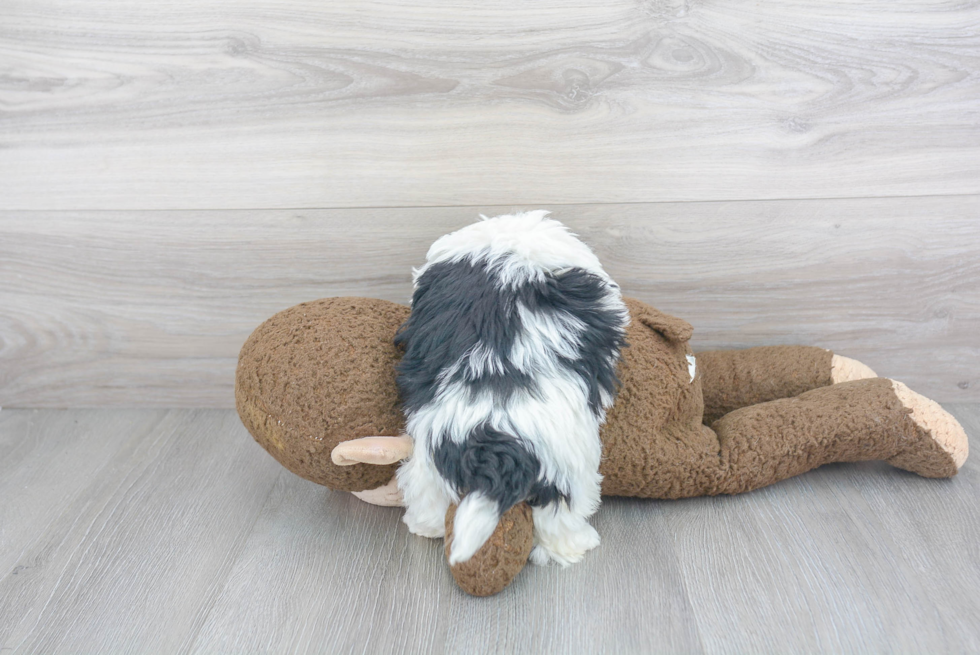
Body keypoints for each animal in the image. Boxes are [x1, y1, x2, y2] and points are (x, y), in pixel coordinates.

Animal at [396, 211, 632, 568]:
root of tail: (494, 439)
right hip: (567, 468)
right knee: (560, 515)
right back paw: (576, 545)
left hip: (431, 455)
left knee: (427, 491)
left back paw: (426, 526)